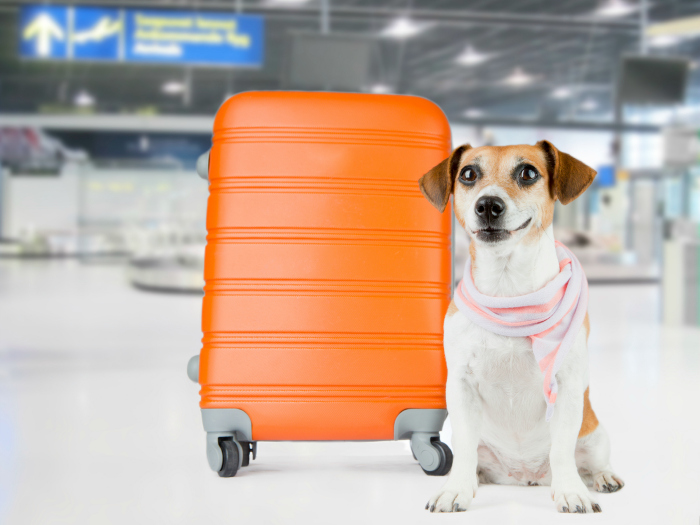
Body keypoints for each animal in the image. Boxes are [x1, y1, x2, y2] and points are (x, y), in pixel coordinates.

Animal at [418, 141, 628, 512]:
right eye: (468, 174)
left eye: (528, 172)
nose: (488, 205)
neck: (509, 294)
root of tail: (524, 476)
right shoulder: (460, 385)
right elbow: (464, 452)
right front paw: (455, 489)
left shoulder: (567, 387)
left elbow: (562, 451)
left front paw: (571, 492)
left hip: (594, 433)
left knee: (591, 461)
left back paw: (602, 477)